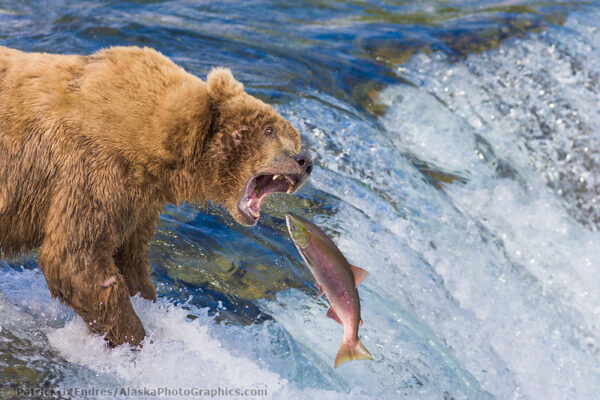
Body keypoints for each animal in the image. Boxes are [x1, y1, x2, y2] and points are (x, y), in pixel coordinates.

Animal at [0, 45, 312, 346]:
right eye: (269, 130)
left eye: (295, 138)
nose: (304, 161)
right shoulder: (95, 170)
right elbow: (75, 260)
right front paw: (137, 341)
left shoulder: (139, 202)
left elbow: (130, 258)